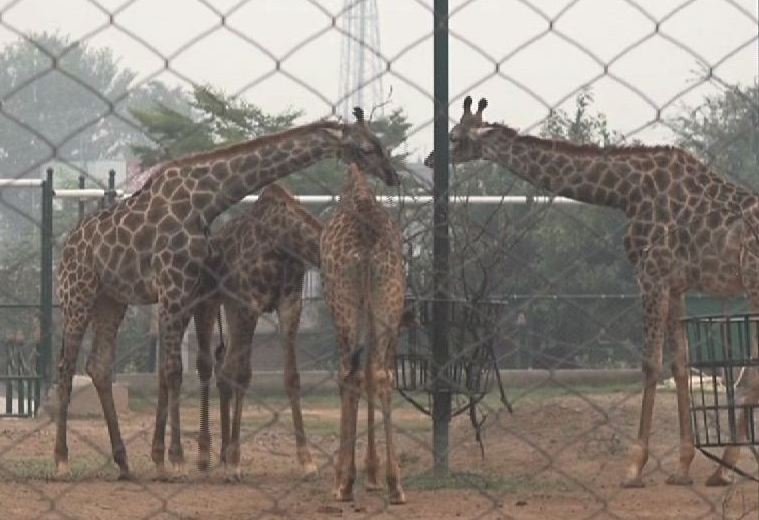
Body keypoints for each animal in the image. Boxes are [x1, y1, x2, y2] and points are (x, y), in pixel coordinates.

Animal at [192, 182, 322, 479]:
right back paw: (204, 456)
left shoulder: (290, 304)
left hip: (229, 309)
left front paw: (307, 461)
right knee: (206, 364)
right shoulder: (247, 304)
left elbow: (292, 376)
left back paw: (222, 453)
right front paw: (235, 462)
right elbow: (242, 375)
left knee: (223, 367)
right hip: (206, 302)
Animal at [320, 163, 407, 504]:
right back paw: (395, 485)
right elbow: (373, 373)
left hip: (344, 303)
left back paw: (344, 484)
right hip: (389, 301)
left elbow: (349, 377)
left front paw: (346, 477)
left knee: (351, 373)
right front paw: (372, 474)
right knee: (381, 374)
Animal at [425, 95, 759, 487]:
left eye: (453, 136)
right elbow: (680, 365)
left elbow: (650, 364)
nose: (430, 159)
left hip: (752, 283)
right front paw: (682, 467)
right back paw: (722, 469)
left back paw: (724, 468)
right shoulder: (675, 285)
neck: (625, 192)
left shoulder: (651, 274)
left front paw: (634, 467)